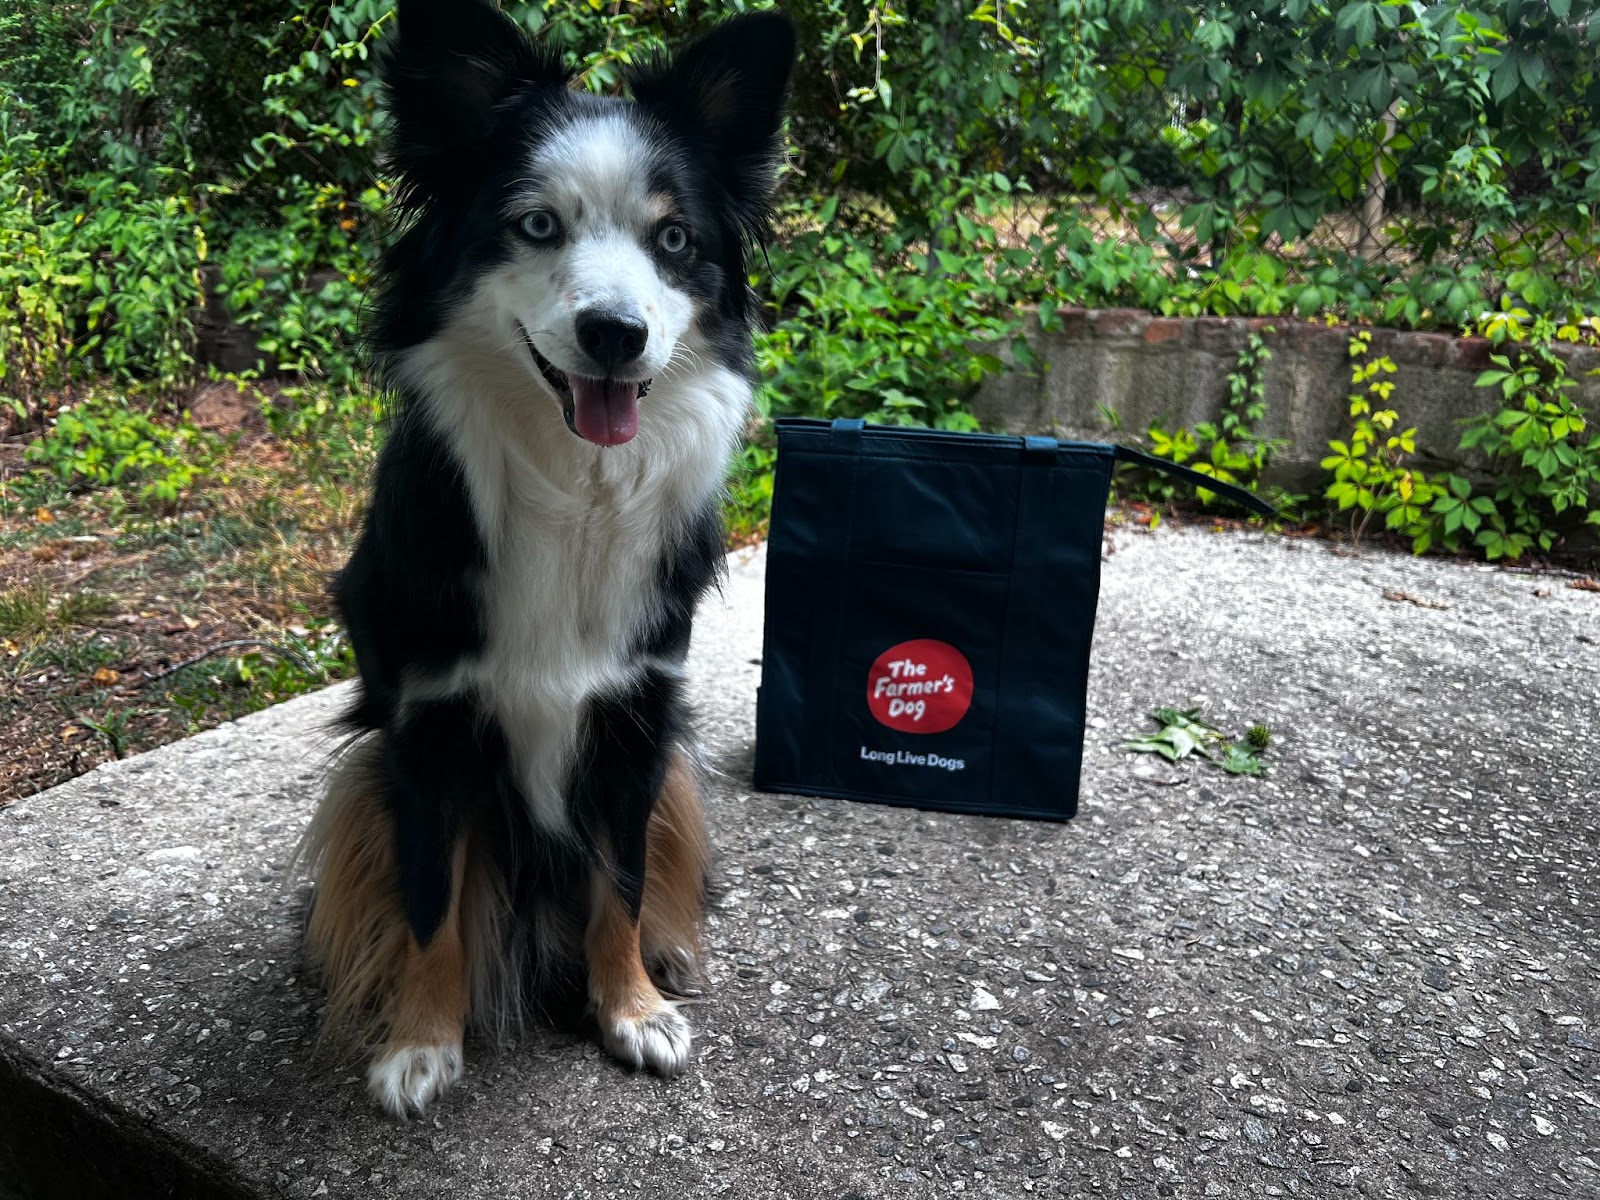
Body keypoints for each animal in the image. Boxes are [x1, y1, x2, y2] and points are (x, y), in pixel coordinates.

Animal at [299, 4, 793, 1126]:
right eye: (536, 226)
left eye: (673, 240)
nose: (616, 334)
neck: (575, 483)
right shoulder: (427, 729)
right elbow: (432, 901)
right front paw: (421, 1041)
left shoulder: (633, 716)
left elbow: (618, 883)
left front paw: (631, 1007)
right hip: (366, 779)